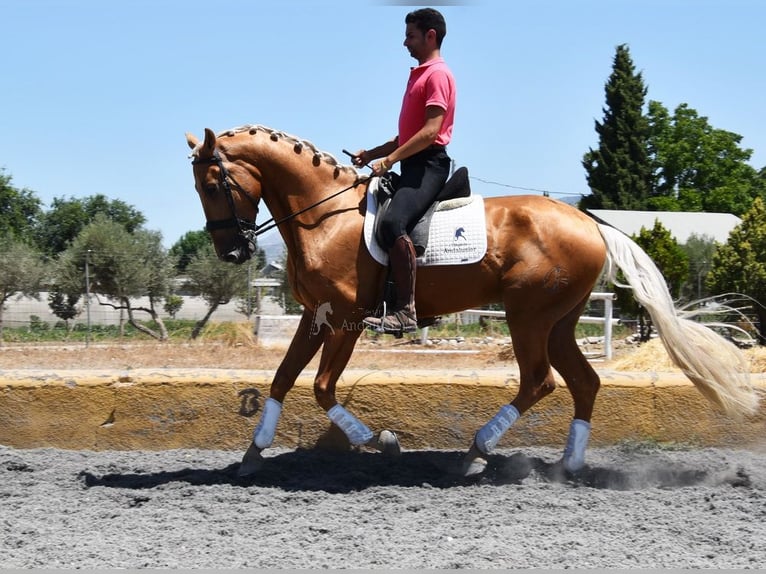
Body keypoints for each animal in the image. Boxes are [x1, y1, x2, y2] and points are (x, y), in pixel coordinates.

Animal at [188, 128, 760, 480]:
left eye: (214, 184)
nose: (233, 252)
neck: (324, 218)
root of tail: (590, 221)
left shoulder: (347, 320)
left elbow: (323, 387)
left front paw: (381, 440)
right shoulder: (316, 315)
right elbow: (283, 380)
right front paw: (253, 452)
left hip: (528, 316)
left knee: (540, 382)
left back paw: (477, 454)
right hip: (557, 321)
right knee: (583, 382)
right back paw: (567, 466)